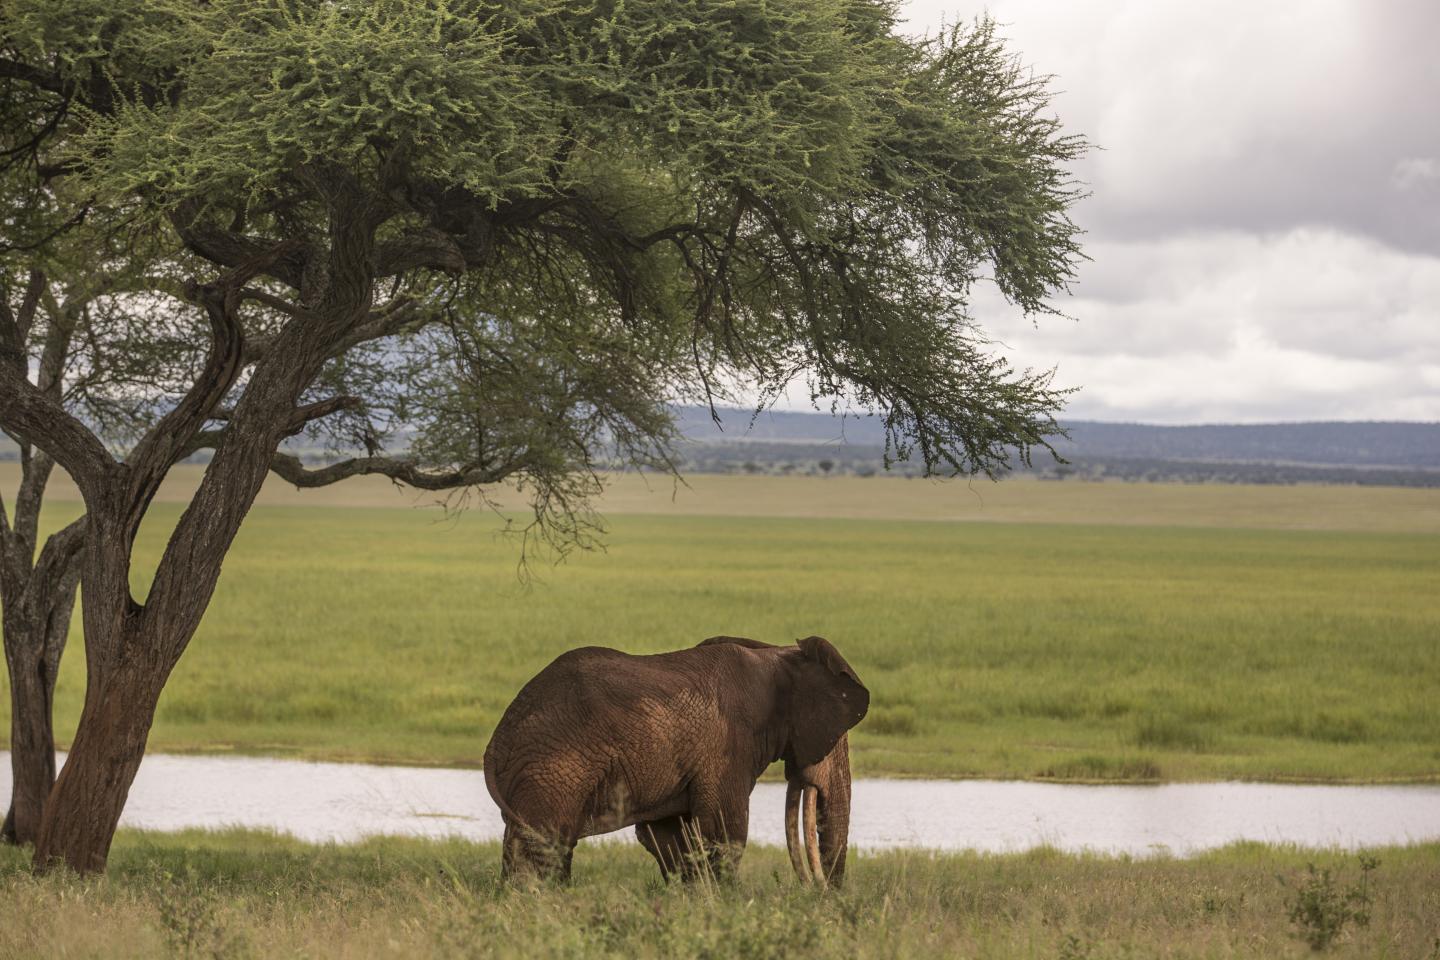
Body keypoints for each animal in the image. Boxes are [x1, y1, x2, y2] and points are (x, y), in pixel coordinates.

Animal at [483, 634, 868, 885]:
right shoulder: (728, 746)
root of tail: (497, 740)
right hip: (554, 768)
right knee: (549, 845)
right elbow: (725, 830)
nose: (819, 894)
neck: (774, 654)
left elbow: (667, 835)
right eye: (836, 736)